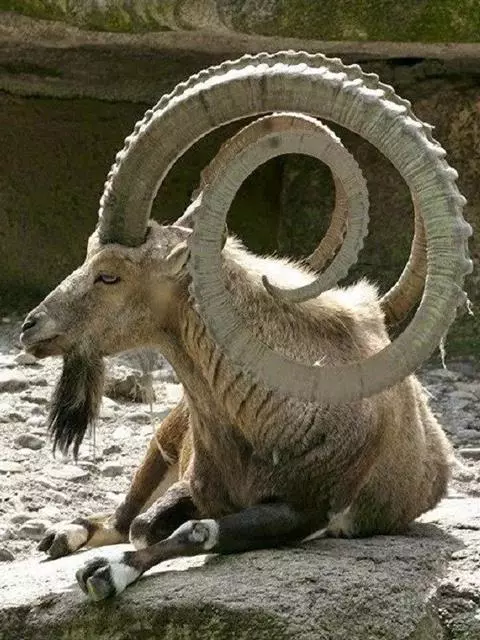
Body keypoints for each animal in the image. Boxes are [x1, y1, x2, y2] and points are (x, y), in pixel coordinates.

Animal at [20, 51, 471, 601]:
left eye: (110, 274)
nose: (30, 327)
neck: (267, 414)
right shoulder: (195, 482)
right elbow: (147, 523)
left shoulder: (307, 509)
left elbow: (194, 530)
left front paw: (108, 572)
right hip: (163, 438)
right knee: (123, 513)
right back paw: (61, 534)